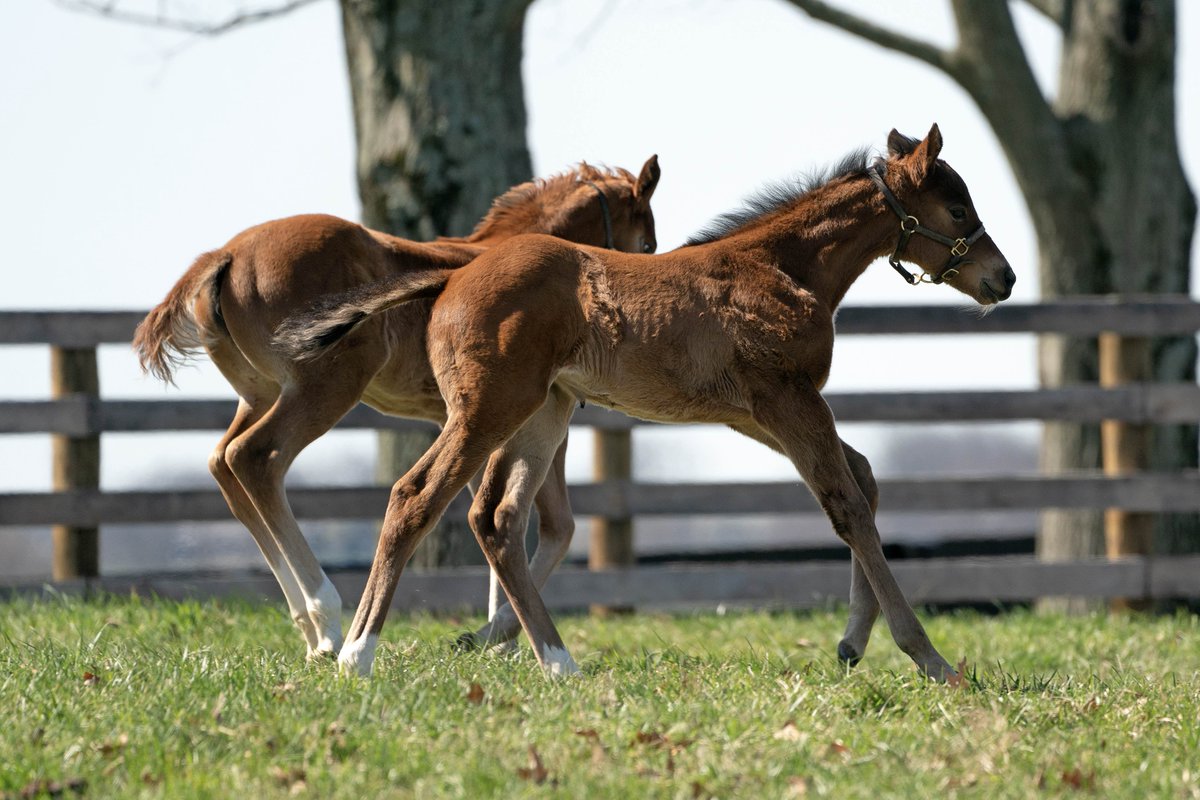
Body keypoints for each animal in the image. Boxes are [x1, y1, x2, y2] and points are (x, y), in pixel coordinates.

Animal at [135, 158, 662, 662]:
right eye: (648, 242)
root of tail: (225, 254)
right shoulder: (516, 419)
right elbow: (555, 527)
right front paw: (496, 637)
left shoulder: (467, 421)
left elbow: (496, 512)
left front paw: (499, 640)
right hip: (327, 384)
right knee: (255, 457)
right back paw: (328, 621)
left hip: (259, 394)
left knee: (222, 463)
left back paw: (309, 628)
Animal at [283, 125, 1012, 681]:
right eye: (956, 211)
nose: (1002, 277)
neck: (783, 269)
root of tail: (452, 276)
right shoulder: (785, 398)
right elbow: (848, 506)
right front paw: (929, 659)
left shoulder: (755, 411)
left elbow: (860, 477)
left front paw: (854, 643)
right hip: (489, 409)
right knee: (416, 496)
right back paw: (356, 653)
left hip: (543, 412)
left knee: (496, 519)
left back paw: (558, 663)